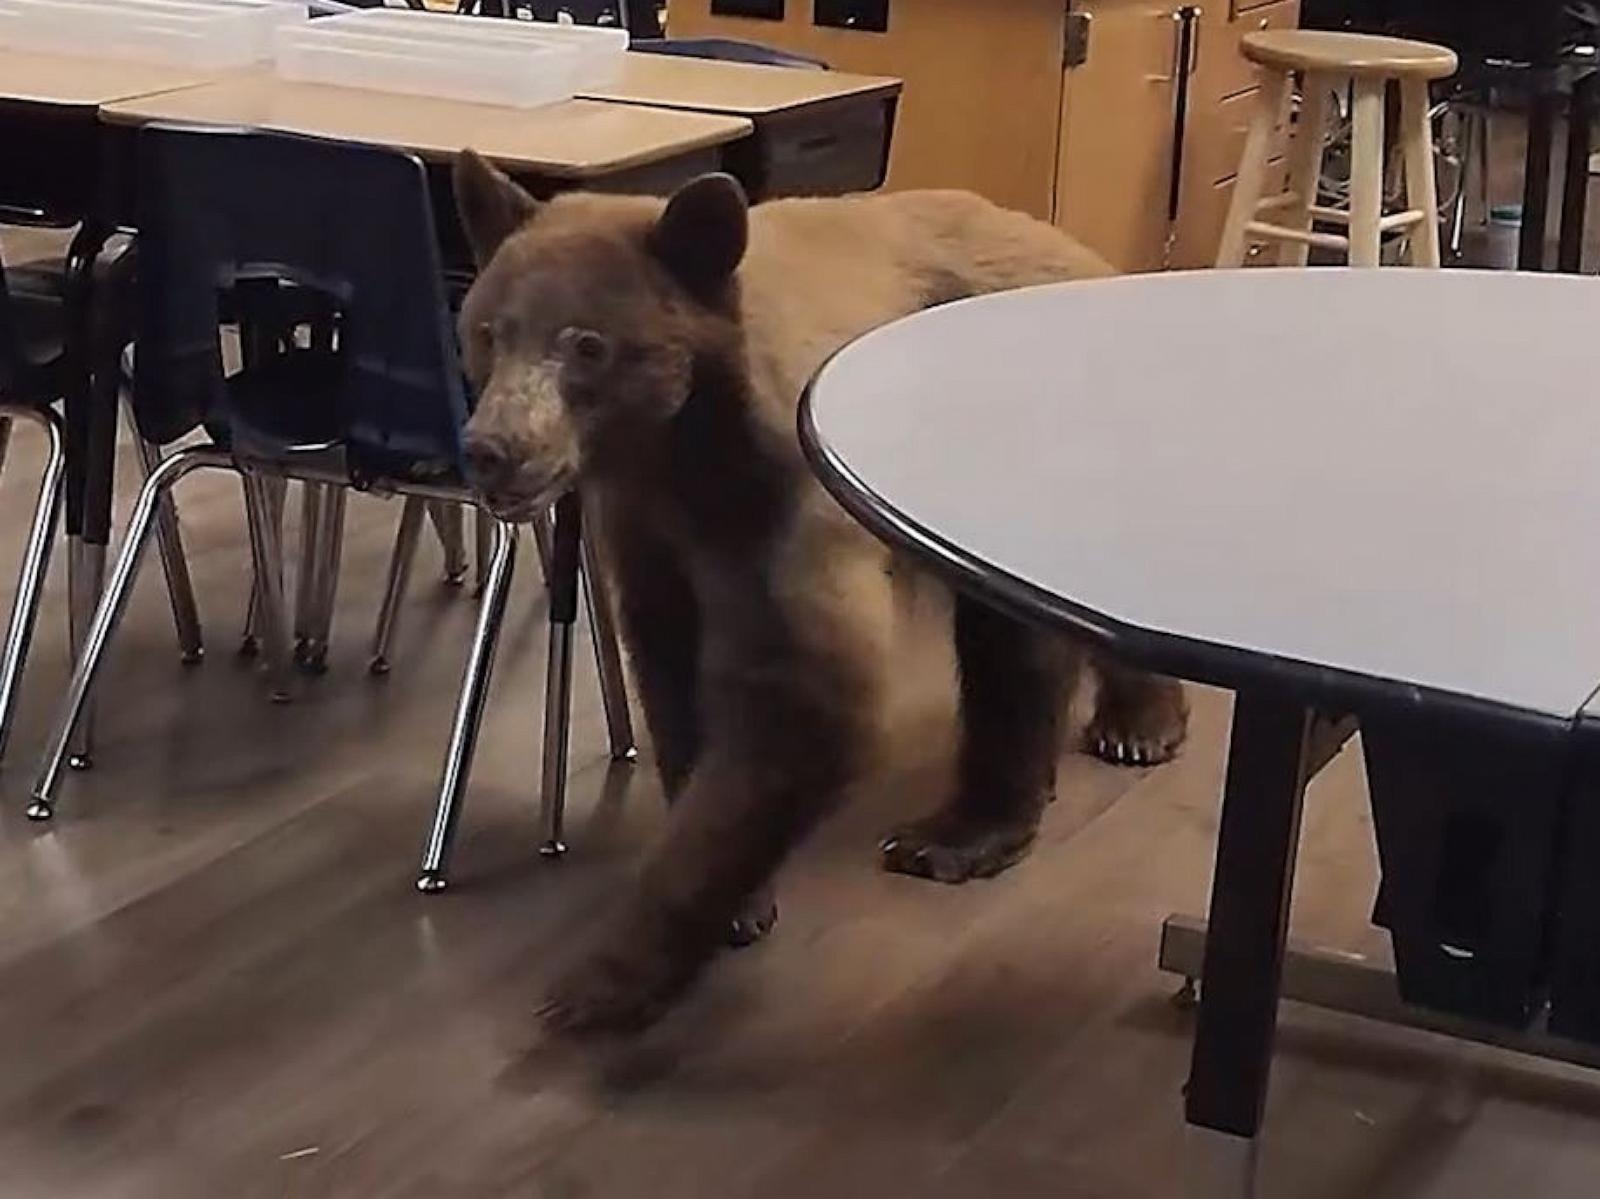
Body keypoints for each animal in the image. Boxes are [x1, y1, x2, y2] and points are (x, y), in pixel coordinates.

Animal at [451, 154, 1190, 1030]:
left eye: (587, 345)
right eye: (488, 330)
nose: (491, 447)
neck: (683, 449)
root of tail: (1084, 253)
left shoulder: (787, 501)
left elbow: (803, 694)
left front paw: (604, 978)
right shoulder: (648, 532)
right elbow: (671, 669)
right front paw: (737, 901)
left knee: (1024, 636)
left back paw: (1003, 804)